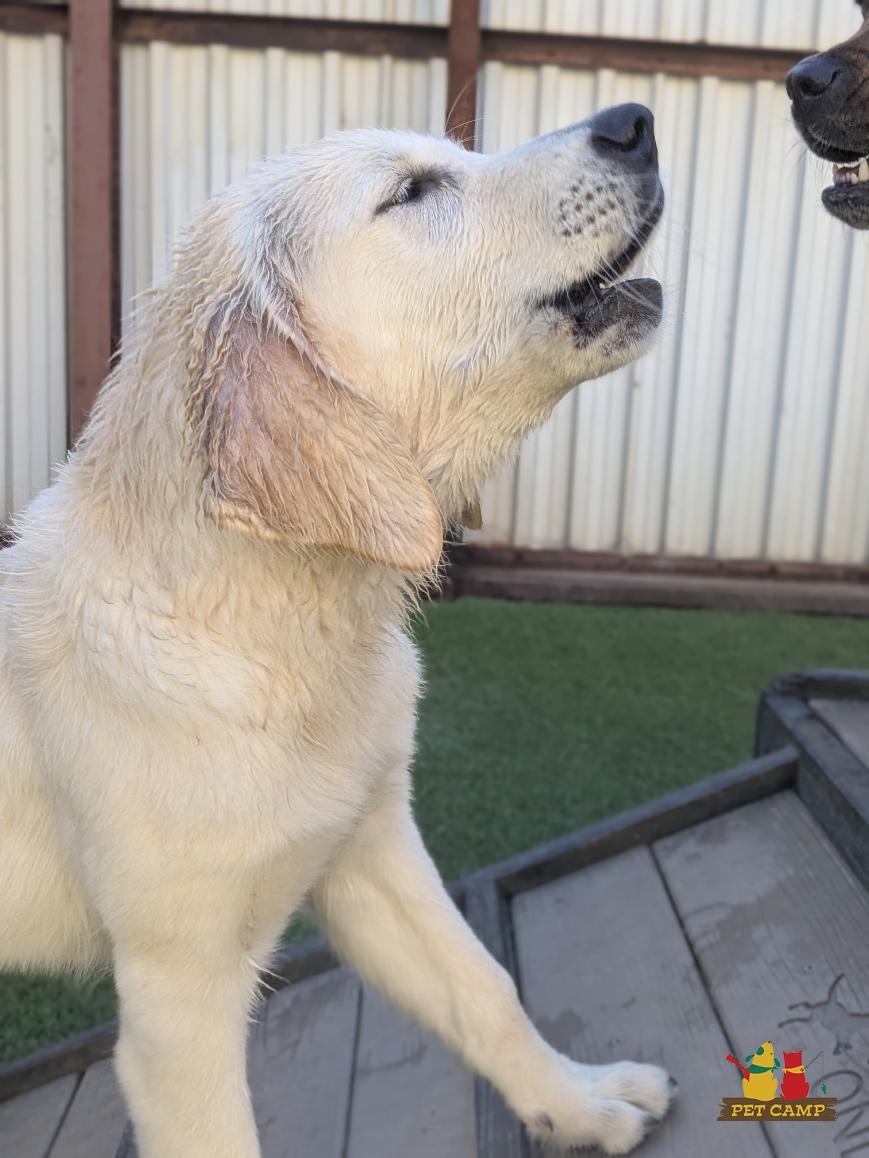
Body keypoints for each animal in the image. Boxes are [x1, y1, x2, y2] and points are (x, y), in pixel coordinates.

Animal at [0, 106, 672, 1157]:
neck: (275, 639)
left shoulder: (370, 846)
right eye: (410, 193)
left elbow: (484, 986)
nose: (632, 121)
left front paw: (574, 1102)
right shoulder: (175, 992)